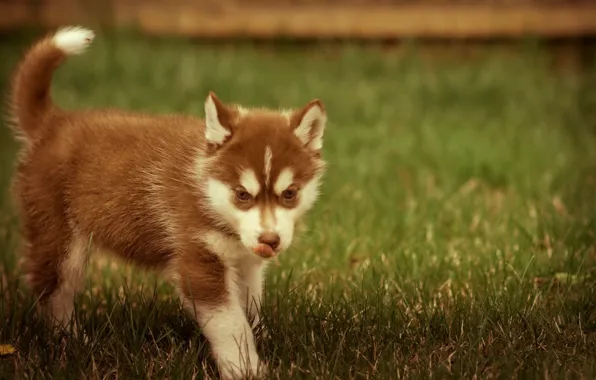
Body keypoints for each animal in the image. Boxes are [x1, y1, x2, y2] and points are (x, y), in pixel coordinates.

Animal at [8, 25, 326, 378]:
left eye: (290, 193)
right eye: (242, 194)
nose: (269, 240)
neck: (207, 193)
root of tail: (54, 123)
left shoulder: (244, 262)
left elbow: (249, 309)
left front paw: (262, 343)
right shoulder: (198, 258)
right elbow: (230, 323)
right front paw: (245, 368)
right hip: (60, 238)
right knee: (53, 292)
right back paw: (71, 344)